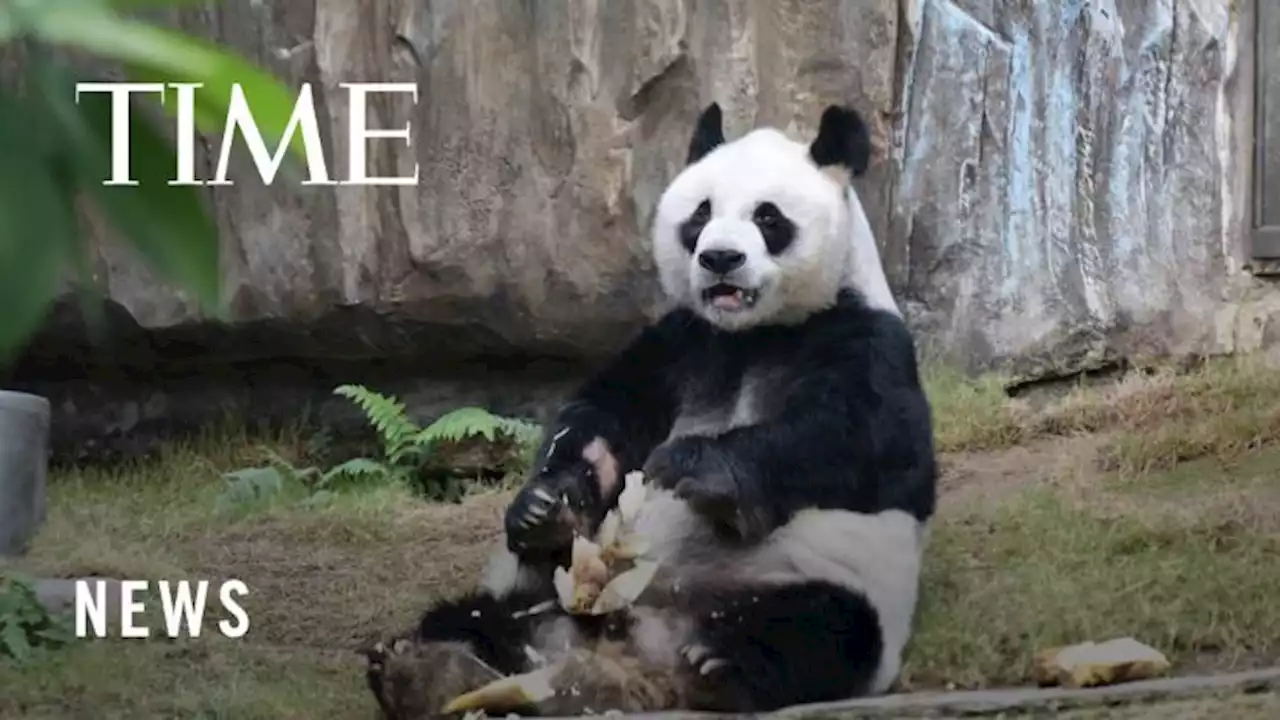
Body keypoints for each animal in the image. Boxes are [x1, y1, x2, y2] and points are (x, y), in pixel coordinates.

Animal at [363, 102, 942, 717]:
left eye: (768, 217)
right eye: (701, 213)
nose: (720, 258)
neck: (753, 334)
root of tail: (638, 660)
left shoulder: (864, 337)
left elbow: (870, 442)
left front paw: (696, 467)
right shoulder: (679, 342)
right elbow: (602, 417)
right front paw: (547, 508)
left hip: (813, 578)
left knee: (826, 629)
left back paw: (724, 663)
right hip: (536, 597)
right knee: (469, 617)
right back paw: (424, 666)